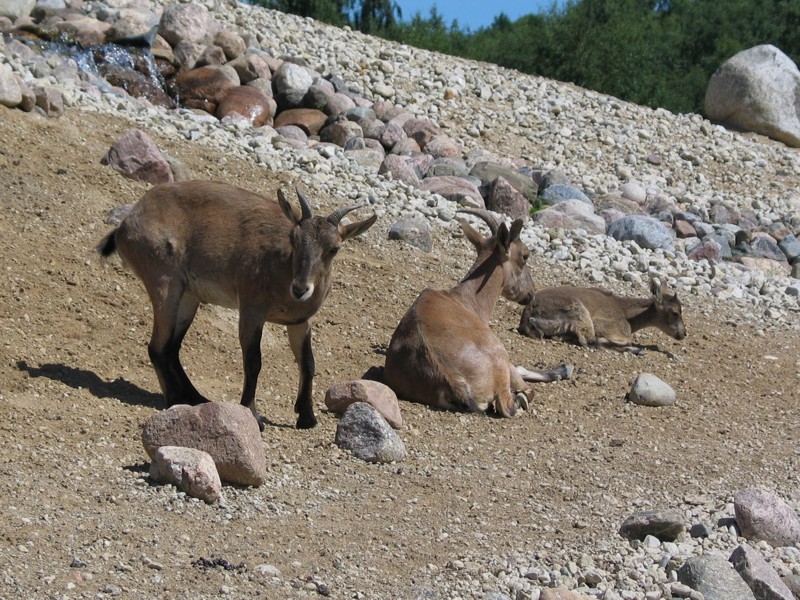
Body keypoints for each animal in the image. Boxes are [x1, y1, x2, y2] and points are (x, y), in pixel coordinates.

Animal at [97, 180, 376, 430]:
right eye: (294, 238)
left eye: (334, 248)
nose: (300, 289)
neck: (282, 270)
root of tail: (126, 226)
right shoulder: (251, 311)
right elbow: (253, 361)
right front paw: (253, 415)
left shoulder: (299, 321)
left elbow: (308, 363)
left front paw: (307, 417)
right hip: (165, 282)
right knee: (157, 347)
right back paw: (175, 399)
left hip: (188, 296)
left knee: (171, 348)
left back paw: (196, 397)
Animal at [383, 210, 573, 417]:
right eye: (525, 255)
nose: (531, 293)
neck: (465, 300)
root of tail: (451, 379)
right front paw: (563, 369)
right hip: (500, 359)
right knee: (513, 401)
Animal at [518, 279, 686, 355]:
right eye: (675, 312)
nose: (683, 334)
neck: (625, 312)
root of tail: (528, 314)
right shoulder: (607, 326)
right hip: (580, 312)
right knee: (588, 340)